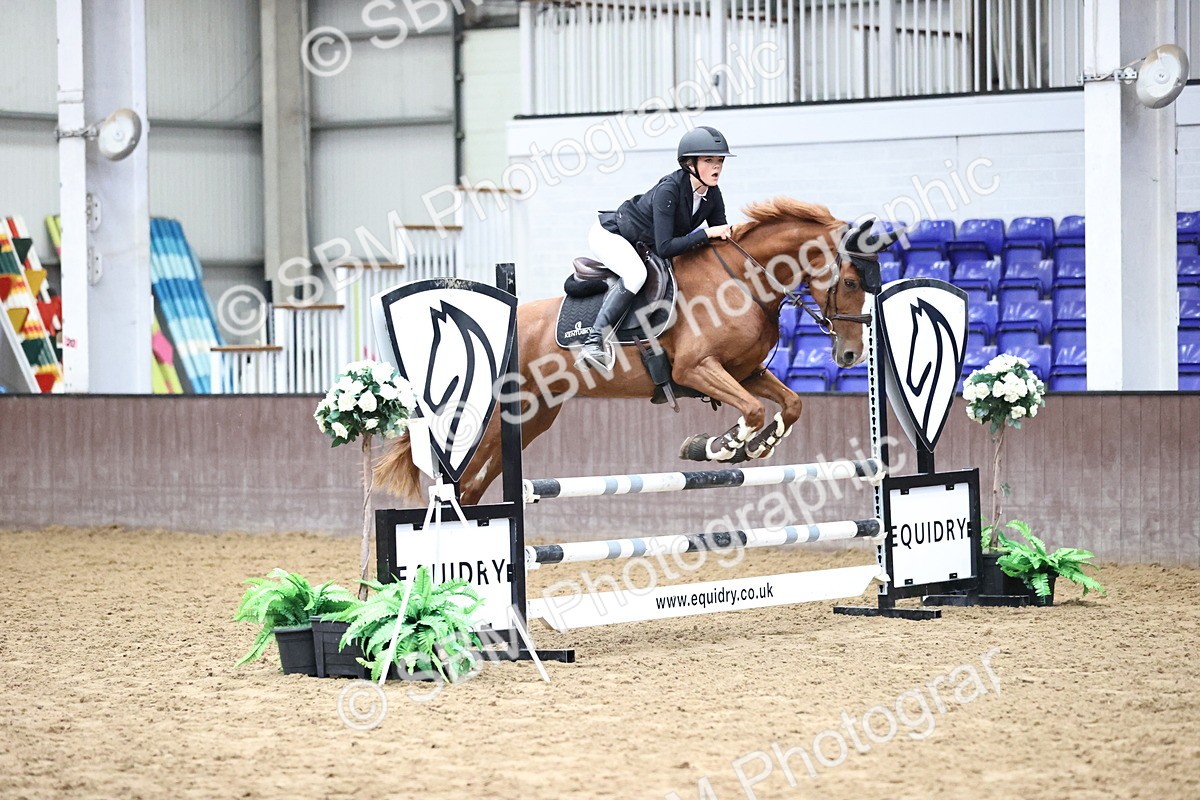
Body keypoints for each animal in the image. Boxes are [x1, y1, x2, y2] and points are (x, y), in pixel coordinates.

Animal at [375, 197, 891, 505]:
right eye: (850, 282)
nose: (851, 356)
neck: (743, 280)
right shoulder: (696, 369)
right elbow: (749, 411)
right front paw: (717, 447)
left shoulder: (743, 371)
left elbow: (790, 404)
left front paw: (754, 446)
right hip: (499, 417)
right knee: (459, 482)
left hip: (530, 418)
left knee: (473, 487)